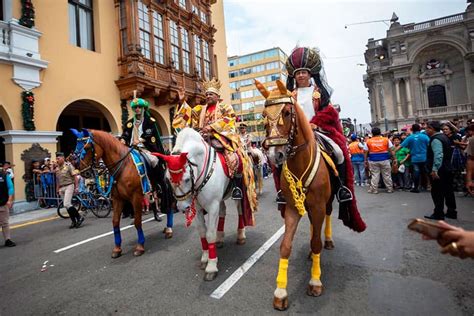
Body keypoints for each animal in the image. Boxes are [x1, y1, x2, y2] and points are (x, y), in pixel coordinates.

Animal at [73, 130, 177, 258]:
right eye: (76, 148)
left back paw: (169, 229)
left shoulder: (136, 197)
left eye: (87, 148)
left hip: (165, 185)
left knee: (169, 204)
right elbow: (115, 222)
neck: (123, 166)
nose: (83, 172)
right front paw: (117, 249)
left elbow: (138, 222)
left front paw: (140, 247)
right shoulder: (118, 199)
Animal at [154, 128, 248, 282]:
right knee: (223, 212)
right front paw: (205, 258)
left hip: (238, 193)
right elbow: (203, 232)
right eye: (168, 178)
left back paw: (240, 235)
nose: (182, 208)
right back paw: (220, 238)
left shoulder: (212, 206)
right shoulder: (198, 208)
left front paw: (211, 266)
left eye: (187, 179)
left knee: (240, 211)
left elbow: (210, 234)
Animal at [258, 79, 336, 312]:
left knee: (326, 219)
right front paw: (280, 292)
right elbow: (285, 246)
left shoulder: (319, 205)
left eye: (286, 112)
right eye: (263, 115)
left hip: (328, 203)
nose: (274, 155)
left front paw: (315, 281)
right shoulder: (292, 208)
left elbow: (317, 242)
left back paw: (327, 241)